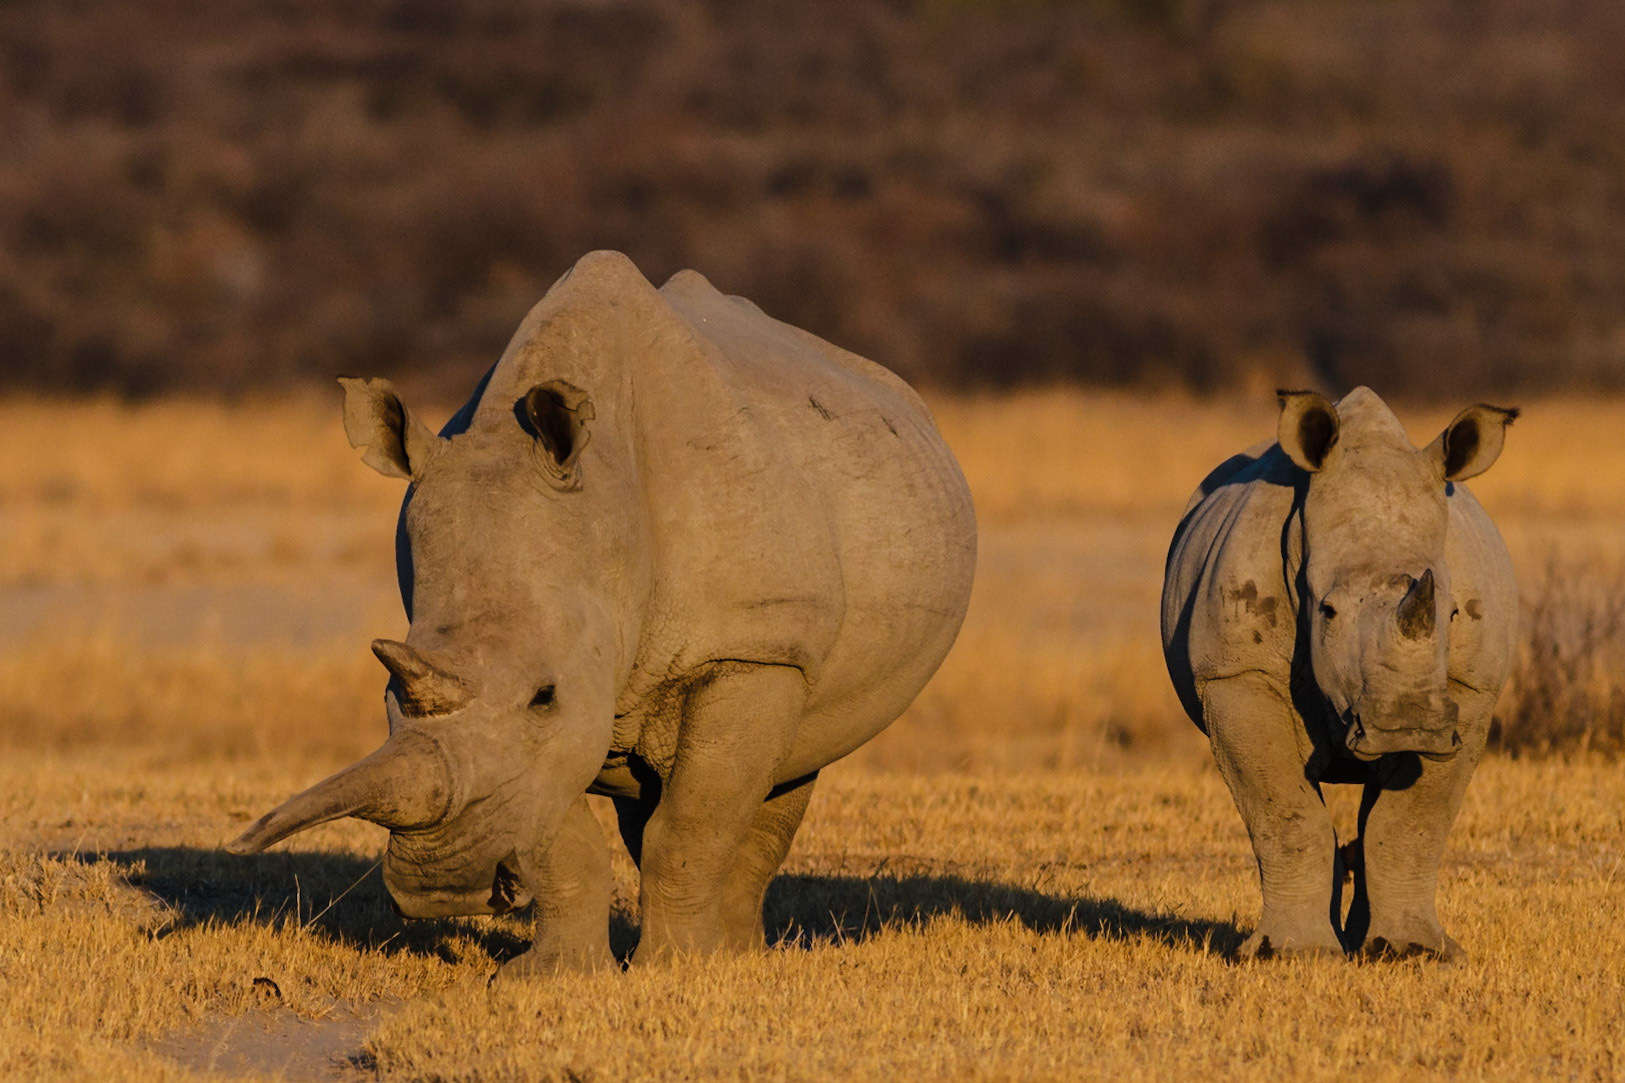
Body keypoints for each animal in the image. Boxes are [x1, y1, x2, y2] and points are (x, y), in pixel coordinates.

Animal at [228, 251, 977, 974]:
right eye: (386, 697)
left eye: (543, 696)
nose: (438, 888)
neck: (608, 523)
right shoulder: (560, 695)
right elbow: (561, 833)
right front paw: (553, 976)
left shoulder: (749, 648)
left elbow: (692, 825)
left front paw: (679, 973)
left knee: (784, 767)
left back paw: (739, 958)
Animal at [1162, 387, 1517, 960]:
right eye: (1327, 611)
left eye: (1452, 614)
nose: (1406, 724)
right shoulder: (1236, 675)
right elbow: (1286, 815)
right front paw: (1291, 954)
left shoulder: (1470, 688)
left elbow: (1410, 823)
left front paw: (1414, 954)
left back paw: (1371, 945)